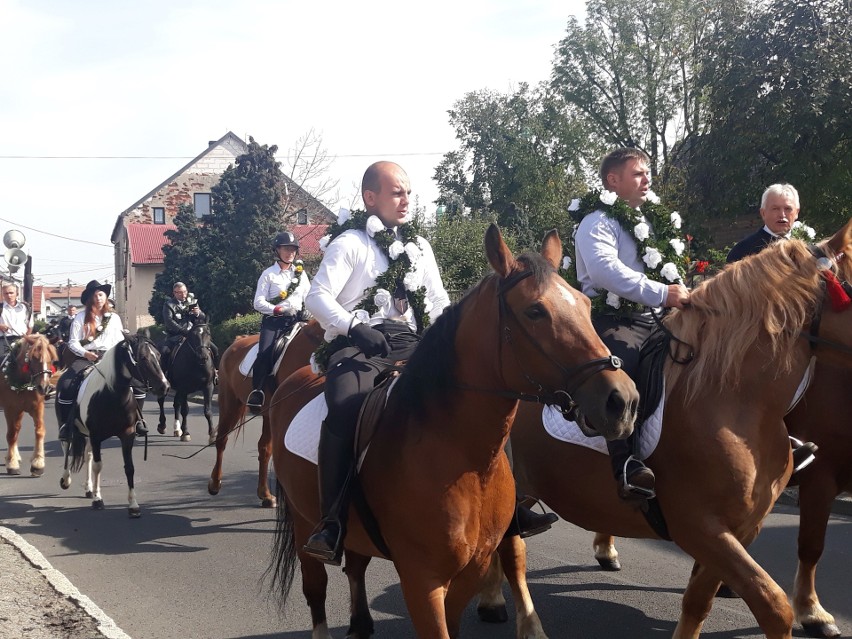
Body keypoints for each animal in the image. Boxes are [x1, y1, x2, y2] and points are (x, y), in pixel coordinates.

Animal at [1, 336, 57, 476]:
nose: (44, 387)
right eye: (33, 358)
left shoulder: (37, 407)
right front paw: (12, 464)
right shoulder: (10, 408)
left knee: (17, 429)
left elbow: (39, 431)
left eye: (51, 359)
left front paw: (38, 463)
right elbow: (11, 434)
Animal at [60, 338, 168, 516]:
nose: (164, 386)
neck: (112, 395)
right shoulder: (96, 436)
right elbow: (98, 466)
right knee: (67, 448)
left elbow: (129, 468)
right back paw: (66, 479)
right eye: (143, 357)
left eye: (159, 355)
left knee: (87, 455)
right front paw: (98, 499)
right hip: (70, 429)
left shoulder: (127, 435)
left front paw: (133, 505)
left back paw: (89, 488)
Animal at [206, 322, 322, 508]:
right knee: (222, 440)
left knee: (264, 448)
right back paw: (215, 484)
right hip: (230, 403)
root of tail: (237, 342)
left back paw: (265, 494)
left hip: (268, 414)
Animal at [268, 226, 640, 639]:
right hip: (304, 523)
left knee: (356, 567)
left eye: (586, 306)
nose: (622, 400)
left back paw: (361, 623)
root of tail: (294, 380)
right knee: (315, 588)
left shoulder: (469, 572)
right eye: (535, 310)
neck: (462, 458)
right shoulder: (422, 580)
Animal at [482, 221, 852, 639]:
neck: (736, 402)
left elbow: (698, 601)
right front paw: (811, 614)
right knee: (507, 545)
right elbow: (774, 604)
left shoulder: (738, 531)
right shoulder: (700, 527)